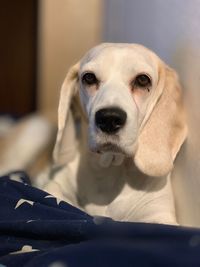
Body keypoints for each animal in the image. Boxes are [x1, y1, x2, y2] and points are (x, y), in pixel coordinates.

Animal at [42, 43, 188, 225]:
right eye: (89, 78)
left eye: (142, 80)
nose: (109, 119)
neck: (110, 170)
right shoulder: (54, 185)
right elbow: (54, 193)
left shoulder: (159, 214)